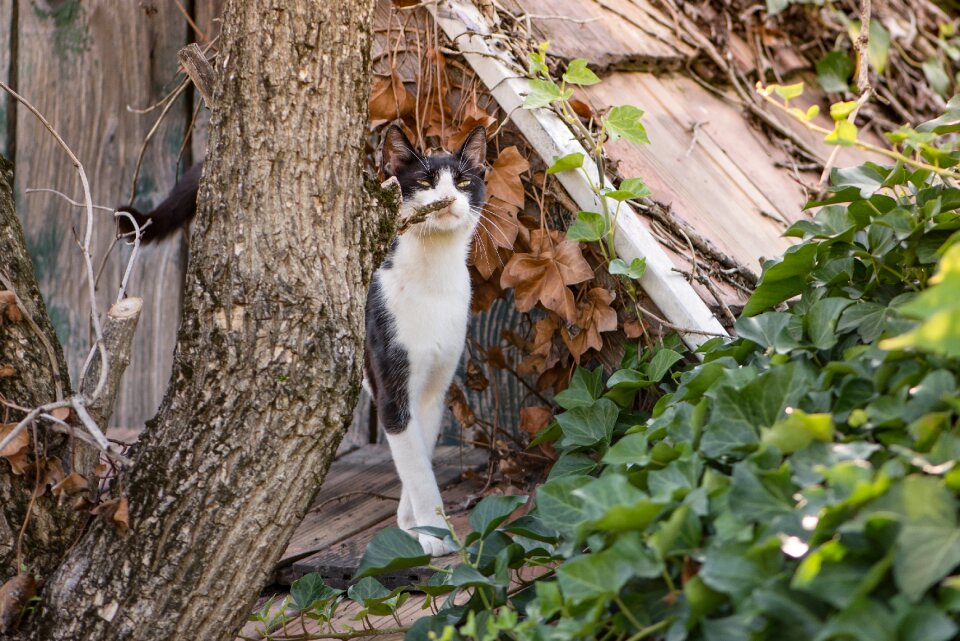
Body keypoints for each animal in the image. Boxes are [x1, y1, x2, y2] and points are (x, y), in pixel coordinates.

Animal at [122, 125, 488, 556]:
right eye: (425, 181)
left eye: (463, 182)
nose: (449, 198)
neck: (433, 278)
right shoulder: (391, 383)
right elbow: (414, 461)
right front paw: (433, 532)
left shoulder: (434, 385)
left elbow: (422, 453)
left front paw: (413, 521)